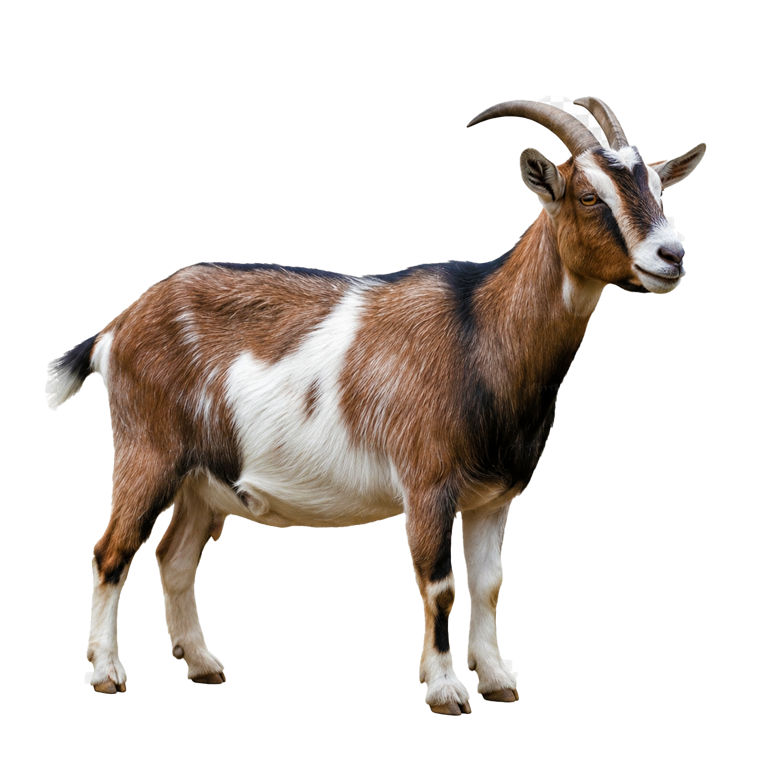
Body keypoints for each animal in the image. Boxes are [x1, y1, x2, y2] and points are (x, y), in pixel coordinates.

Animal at [45, 96, 705, 713]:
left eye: (656, 186)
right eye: (589, 196)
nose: (671, 255)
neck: (481, 330)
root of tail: (119, 325)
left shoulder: (494, 497)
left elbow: (489, 585)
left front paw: (496, 679)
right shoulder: (428, 483)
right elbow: (439, 585)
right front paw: (445, 689)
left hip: (203, 479)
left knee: (174, 557)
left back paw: (204, 664)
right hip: (149, 450)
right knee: (112, 551)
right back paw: (108, 672)